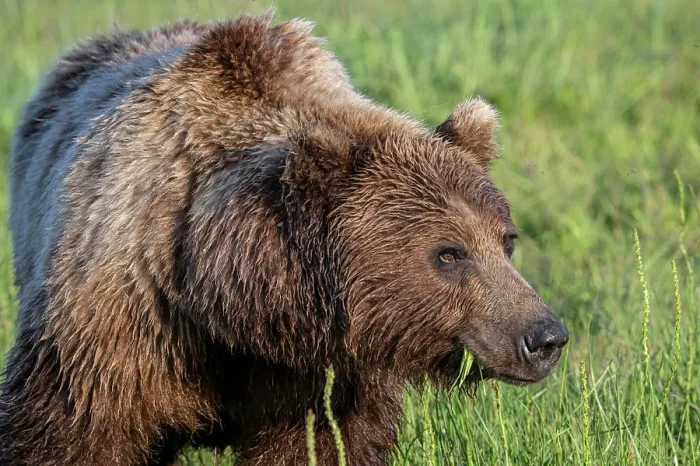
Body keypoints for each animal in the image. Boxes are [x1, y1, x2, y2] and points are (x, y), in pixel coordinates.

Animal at [0, 12, 568, 466]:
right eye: (449, 253)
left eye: (506, 240)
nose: (545, 336)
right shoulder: (124, 329)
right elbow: (78, 432)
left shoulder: (320, 376)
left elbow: (324, 444)